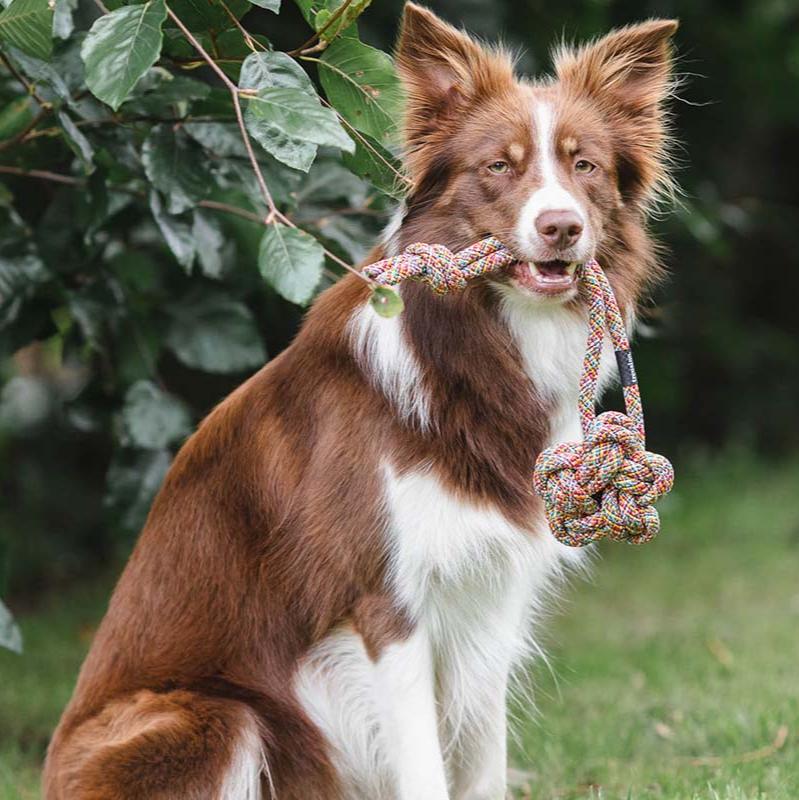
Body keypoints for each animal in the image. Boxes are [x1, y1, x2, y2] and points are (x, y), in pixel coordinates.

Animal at [43, 3, 680, 796]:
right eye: (498, 166)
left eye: (582, 164)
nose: (560, 227)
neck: (473, 349)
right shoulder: (384, 607)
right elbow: (425, 770)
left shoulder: (487, 604)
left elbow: (483, 766)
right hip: (217, 717)